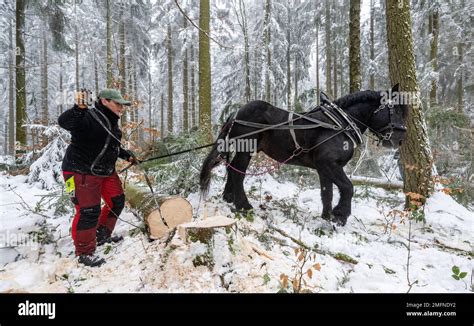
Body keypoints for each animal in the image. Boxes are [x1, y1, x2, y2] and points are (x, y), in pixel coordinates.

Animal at [200, 85, 408, 225]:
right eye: (395, 111)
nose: (400, 139)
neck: (341, 124)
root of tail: (236, 113)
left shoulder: (324, 168)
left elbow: (327, 193)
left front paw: (327, 217)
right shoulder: (329, 164)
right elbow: (348, 187)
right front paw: (340, 216)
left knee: (232, 170)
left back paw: (229, 198)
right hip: (246, 150)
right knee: (237, 173)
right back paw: (244, 205)